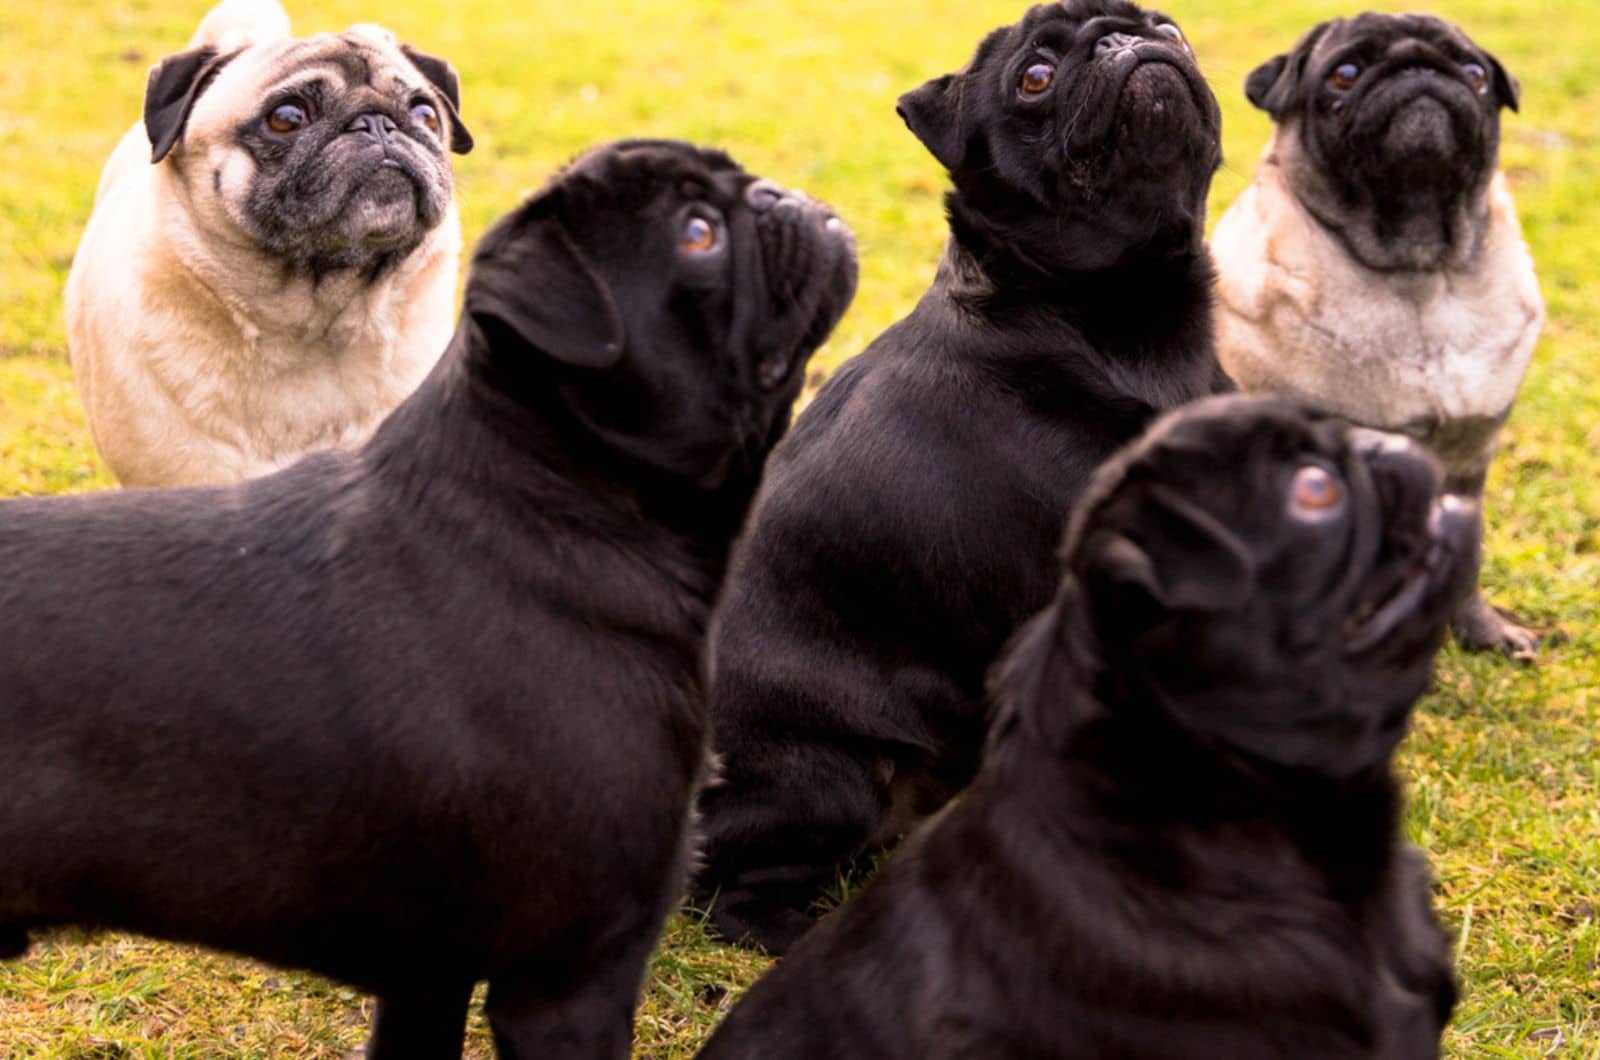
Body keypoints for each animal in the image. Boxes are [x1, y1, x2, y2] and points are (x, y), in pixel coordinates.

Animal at [694, 0, 1228, 954]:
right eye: (1035, 78)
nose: (1126, 40)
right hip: (833, 778)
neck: (1119, 319)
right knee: (730, 900)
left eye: (1167, 25)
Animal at [1216, 14, 1542, 666]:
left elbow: (1466, 568)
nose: (1417, 64)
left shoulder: (1469, 465)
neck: (1419, 272)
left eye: (1475, 73)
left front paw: (1483, 631)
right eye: (1345, 73)